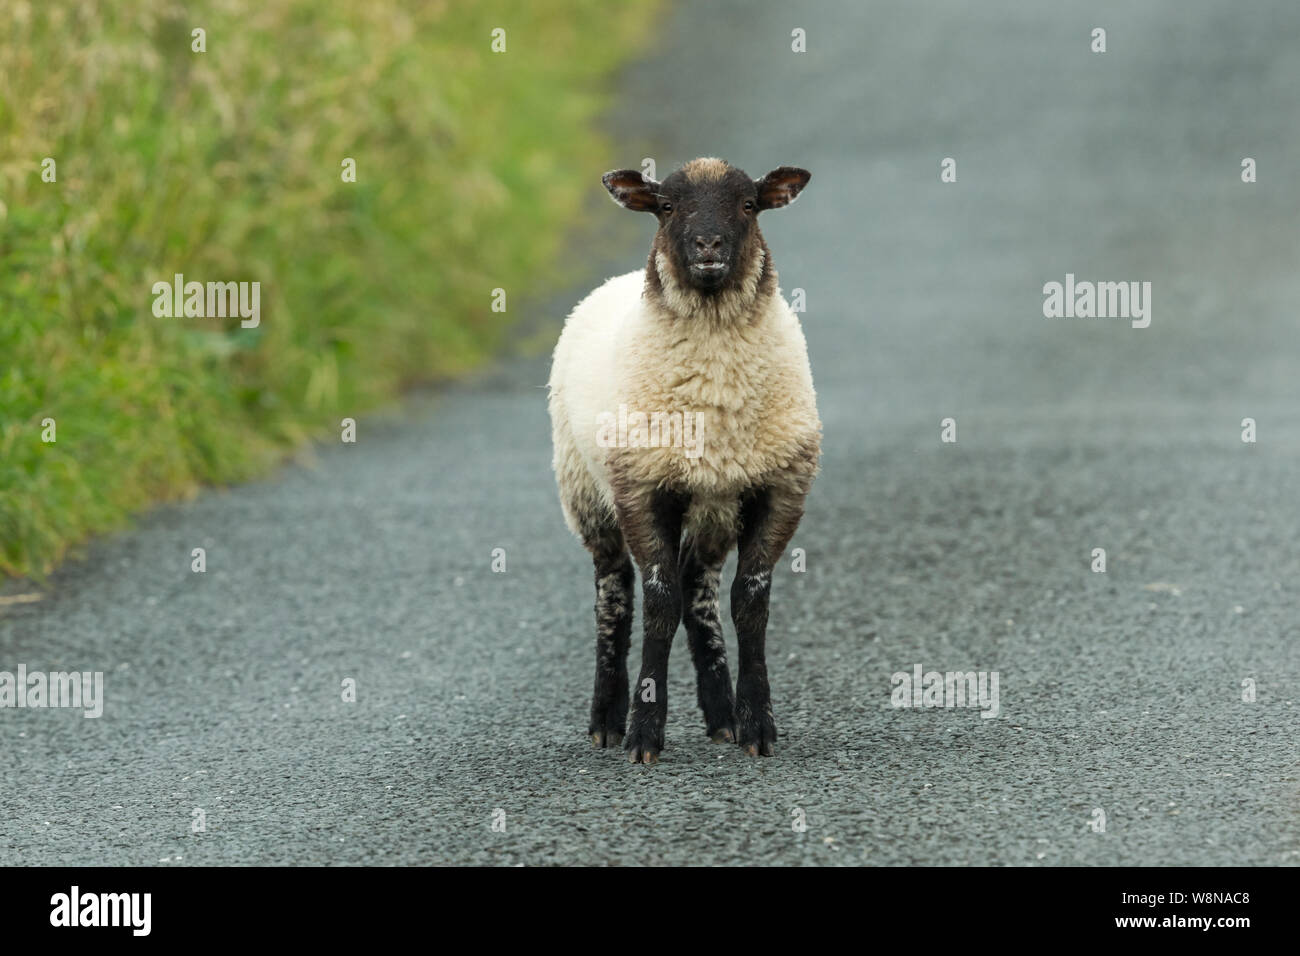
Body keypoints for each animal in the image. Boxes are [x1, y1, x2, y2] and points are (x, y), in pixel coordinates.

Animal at [543, 160, 816, 764]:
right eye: (666, 207)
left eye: (747, 205)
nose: (707, 244)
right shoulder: (642, 488)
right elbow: (659, 604)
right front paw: (644, 732)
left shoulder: (779, 489)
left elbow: (749, 605)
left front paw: (757, 724)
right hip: (586, 492)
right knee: (614, 592)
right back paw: (606, 720)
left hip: (714, 506)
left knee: (699, 590)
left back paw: (721, 717)